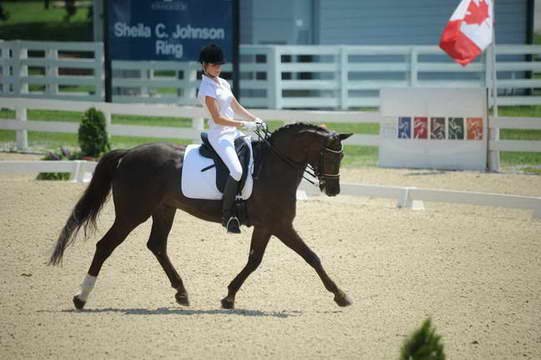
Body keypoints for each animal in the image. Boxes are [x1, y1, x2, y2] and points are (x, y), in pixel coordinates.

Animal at [49, 123, 354, 310]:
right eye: (331, 157)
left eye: (340, 157)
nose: (334, 190)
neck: (273, 167)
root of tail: (129, 153)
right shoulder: (279, 225)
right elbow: (311, 257)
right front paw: (340, 295)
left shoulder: (268, 226)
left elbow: (254, 261)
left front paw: (229, 297)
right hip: (133, 213)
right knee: (105, 246)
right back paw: (81, 297)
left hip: (163, 210)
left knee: (157, 245)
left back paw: (181, 292)